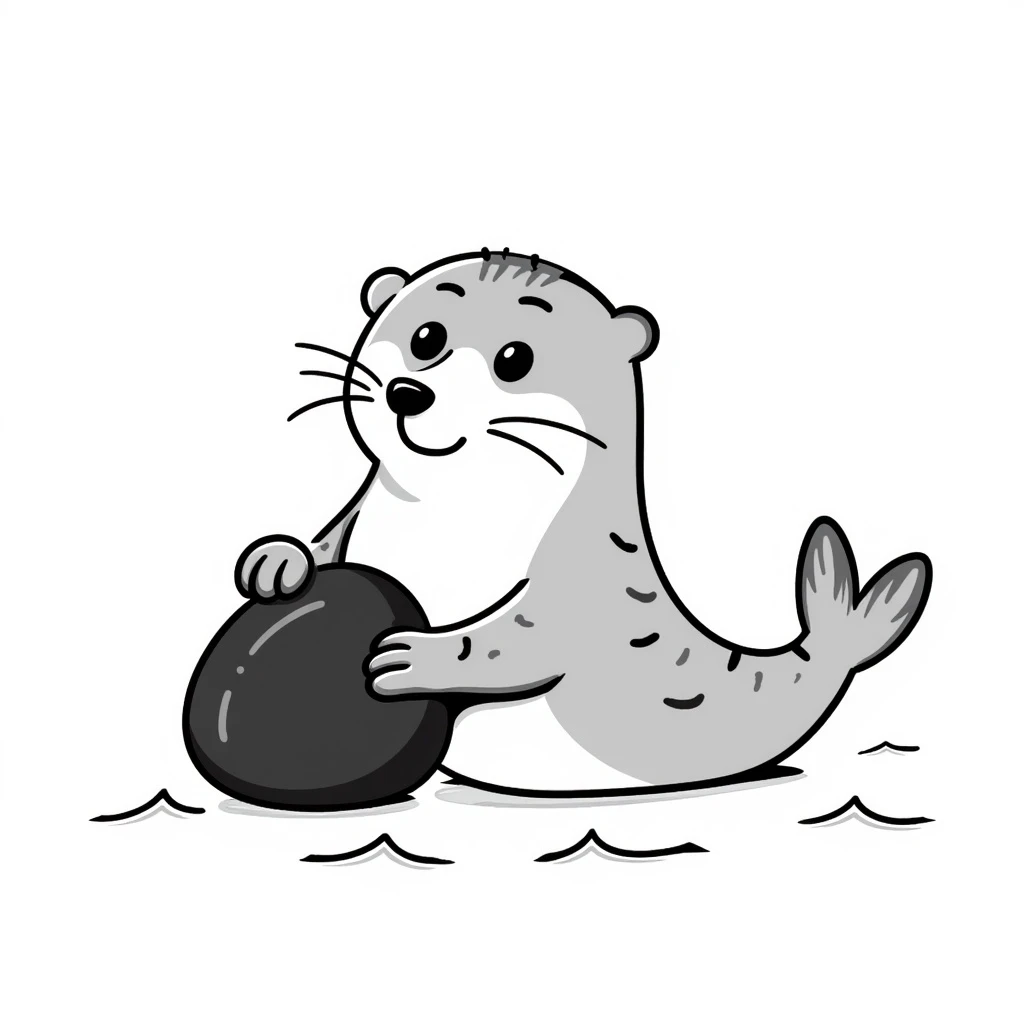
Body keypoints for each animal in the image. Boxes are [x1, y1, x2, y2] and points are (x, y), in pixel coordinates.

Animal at [236, 249, 932, 796]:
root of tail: (830, 649)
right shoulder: (359, 509)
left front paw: (418, 657)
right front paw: (278, 560)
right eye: (426, 337)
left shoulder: (576, 585)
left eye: (514, 359)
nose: (409, 393)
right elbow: (325, 542)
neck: (451, 504)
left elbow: (510, 642)